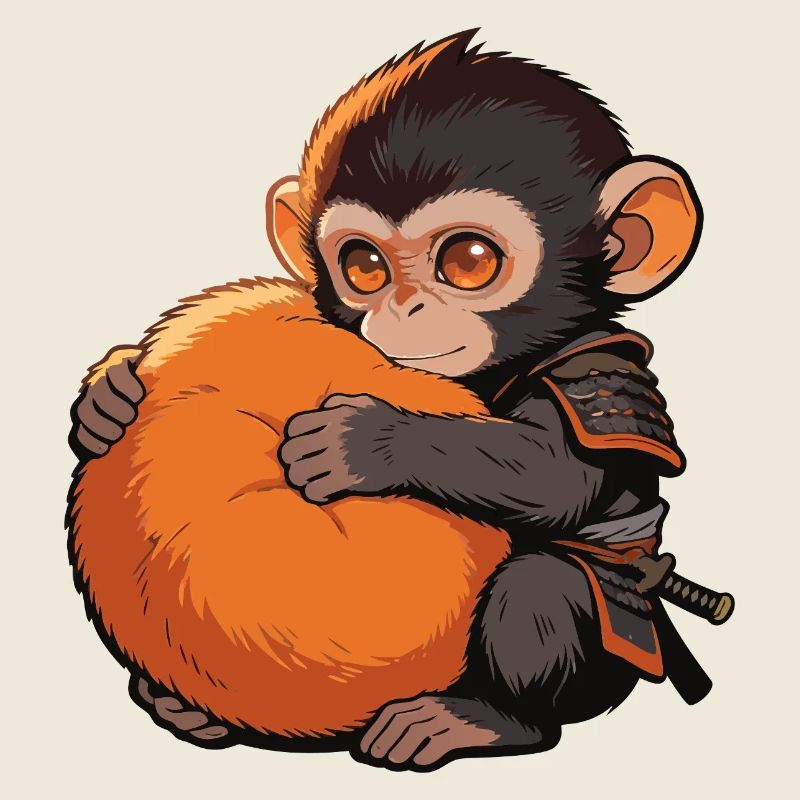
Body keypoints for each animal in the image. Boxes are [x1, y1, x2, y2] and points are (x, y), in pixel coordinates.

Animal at [69, 31, 706, 770]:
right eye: (364, 266)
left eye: (468, 261)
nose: (404, 307)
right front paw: (107, 392)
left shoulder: (595, 369)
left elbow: (558, 477)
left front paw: (364, 442)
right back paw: (181, 707)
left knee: (540, 586)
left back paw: (482, 720)